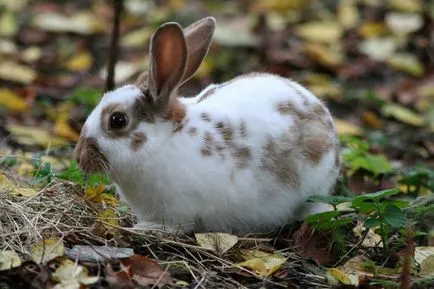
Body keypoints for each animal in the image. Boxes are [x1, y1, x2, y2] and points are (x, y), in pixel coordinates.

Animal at [73, 16, 340, 234]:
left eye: (117, 120)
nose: (79, 156)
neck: (164, 141)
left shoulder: (179, 212)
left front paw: (144, 228)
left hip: (316, 189)